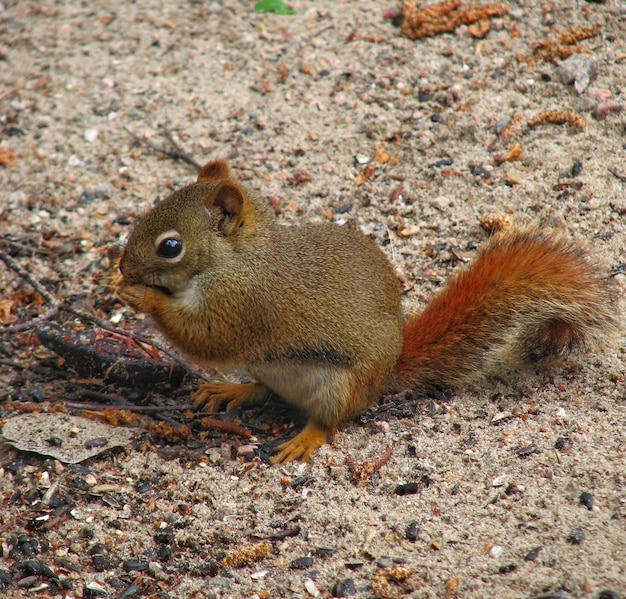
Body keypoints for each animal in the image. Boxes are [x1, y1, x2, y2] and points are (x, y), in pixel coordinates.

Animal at [118, 161, 620, 464]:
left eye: (170, 247)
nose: (123, 267)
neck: (241, 257)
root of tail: (389, 370)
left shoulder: (242, 303)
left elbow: (206, 336)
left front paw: (141, 296)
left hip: (340, 387)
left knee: (330, 420)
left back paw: (305, 438)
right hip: (273, 370)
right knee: (264, 388)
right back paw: (233, 390)